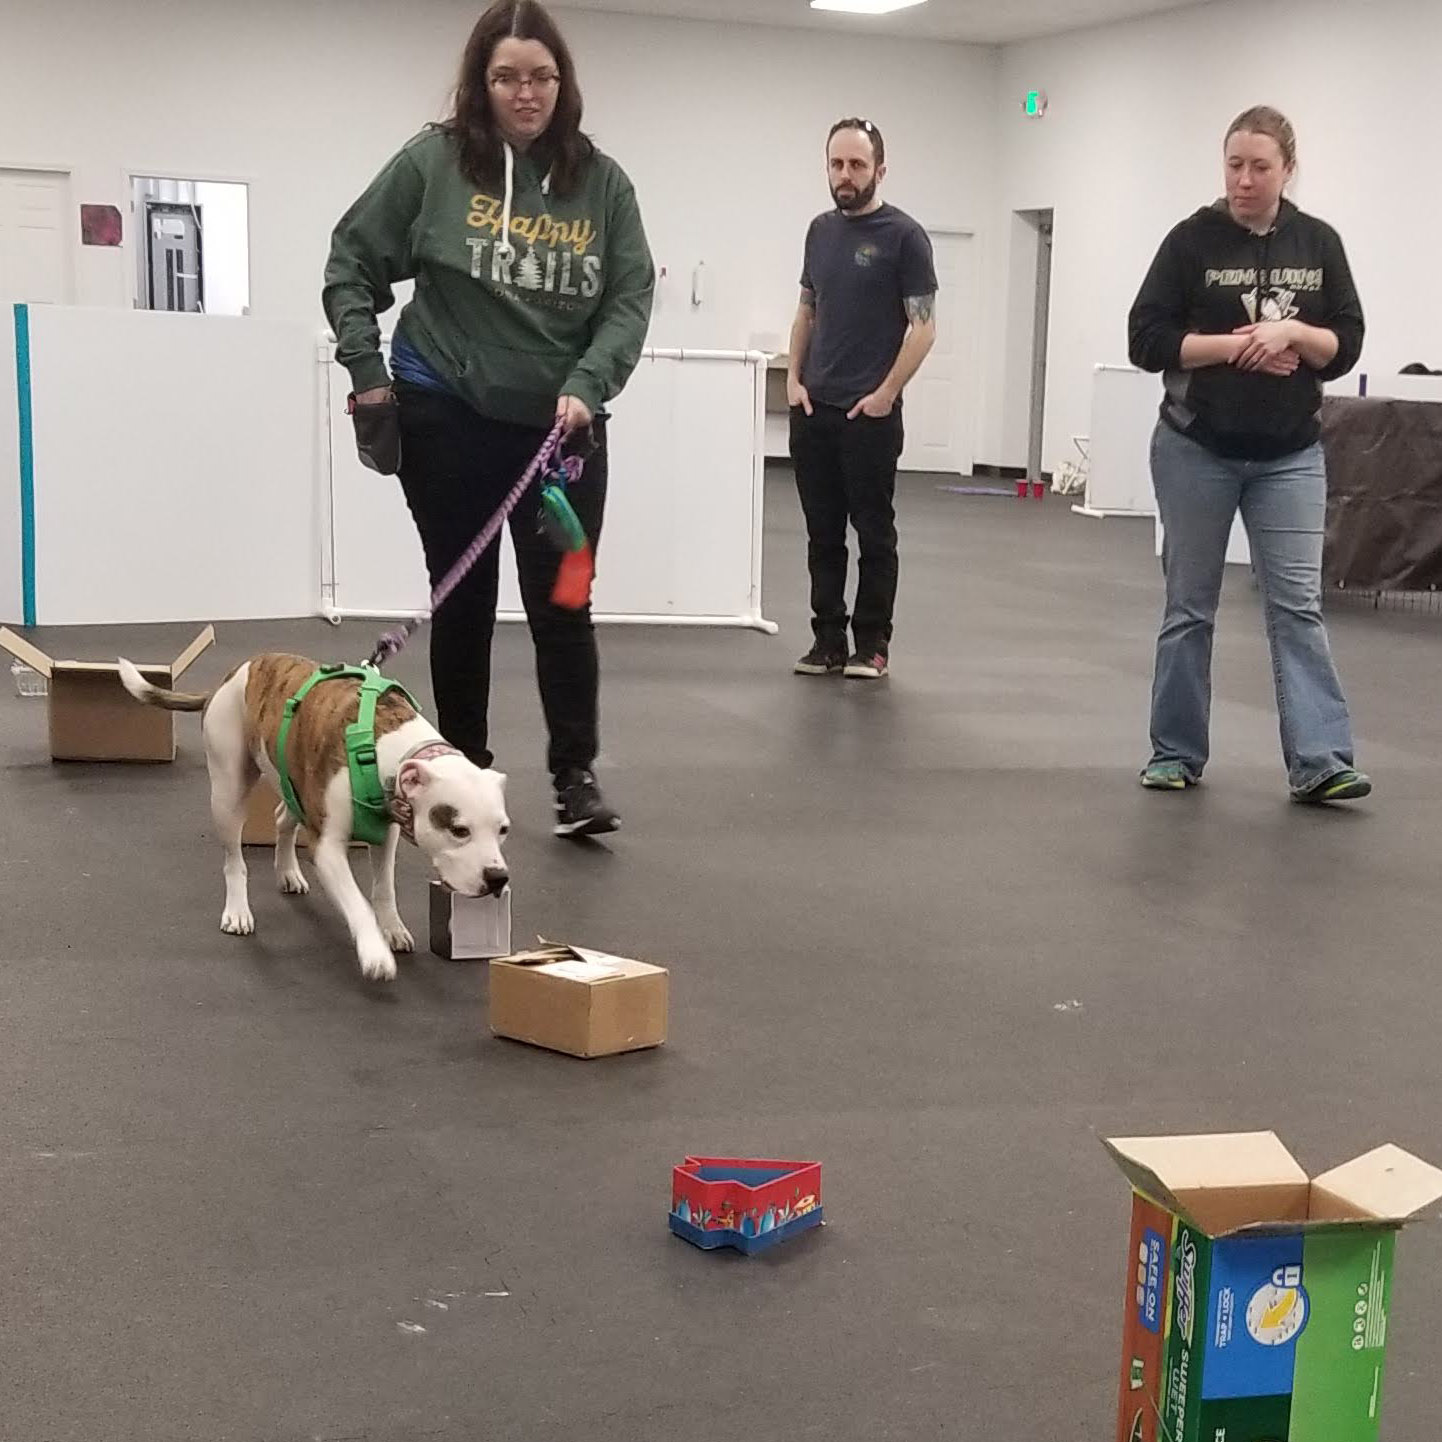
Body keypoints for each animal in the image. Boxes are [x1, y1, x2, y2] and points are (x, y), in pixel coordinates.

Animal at [121, 654, 510, 980]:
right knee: (234, 860)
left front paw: (392, 928)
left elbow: (383, 888)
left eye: (503, 830)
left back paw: (288, 872)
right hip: (229, 791)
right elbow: (357, 902)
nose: (498, 878)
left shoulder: (387, 834)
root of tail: (231, 675)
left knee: (282, 818)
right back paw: (238, 910)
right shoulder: (329, 848)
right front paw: (374, 952)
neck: (386, 747)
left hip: (293, 782)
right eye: (458, 830)